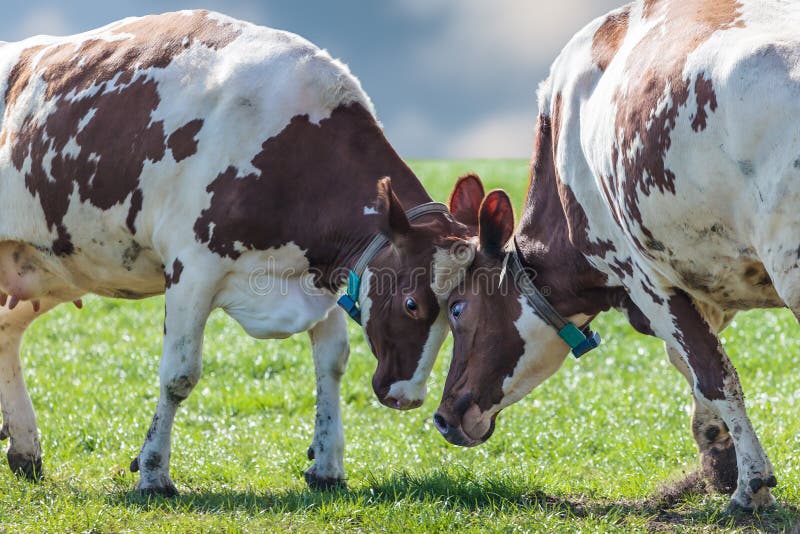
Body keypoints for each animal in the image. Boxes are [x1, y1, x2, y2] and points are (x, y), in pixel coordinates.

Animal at [0, 10, 473, 495]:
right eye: (412, 303)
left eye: (457, 309)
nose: (407, 397)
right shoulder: (191, 267)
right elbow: (179, 375)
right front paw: (153, 472)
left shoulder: (324, 275)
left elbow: (332, 363)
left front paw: (327, 466)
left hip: (44, 270)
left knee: (6, 332)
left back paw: (25, 450)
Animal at [433, 0, 798, 511]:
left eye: (458, 308)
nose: (443, 417)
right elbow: (689, 367)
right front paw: (719, 463)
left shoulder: (642, 276)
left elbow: (713, 375)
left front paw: (750, 485)